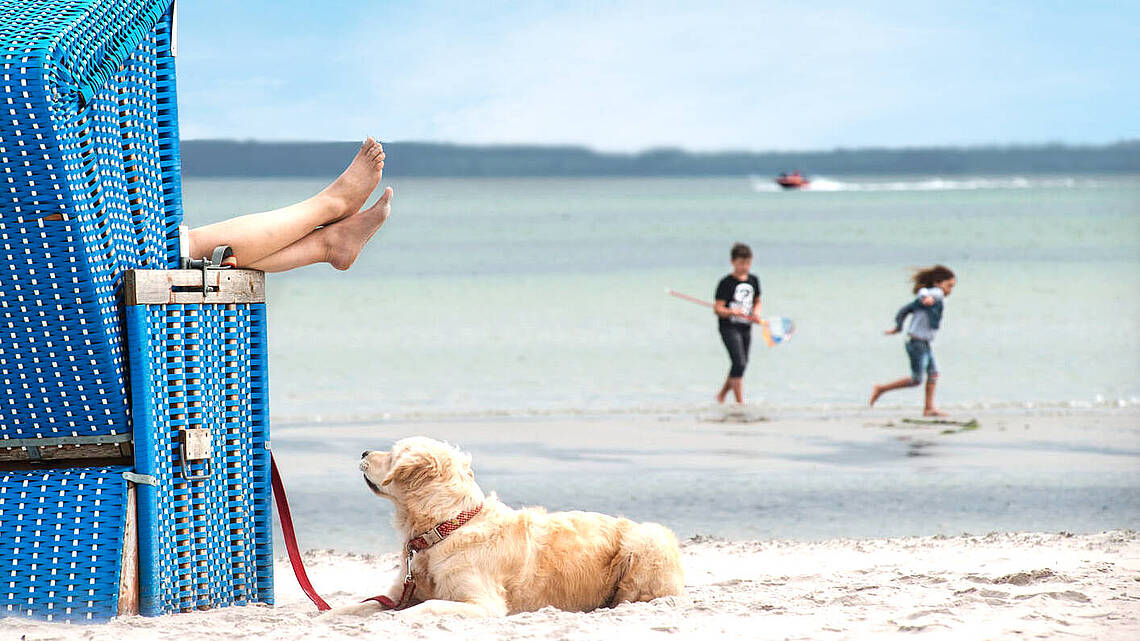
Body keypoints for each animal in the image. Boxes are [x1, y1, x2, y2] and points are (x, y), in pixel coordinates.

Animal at [332, 433, 679, 615]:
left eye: (392, 455)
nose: (363, 451)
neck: (445, 528)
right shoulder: (398, 592)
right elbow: (352, 608)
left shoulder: (481, 602)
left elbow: (425, 607)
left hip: (648, 539)